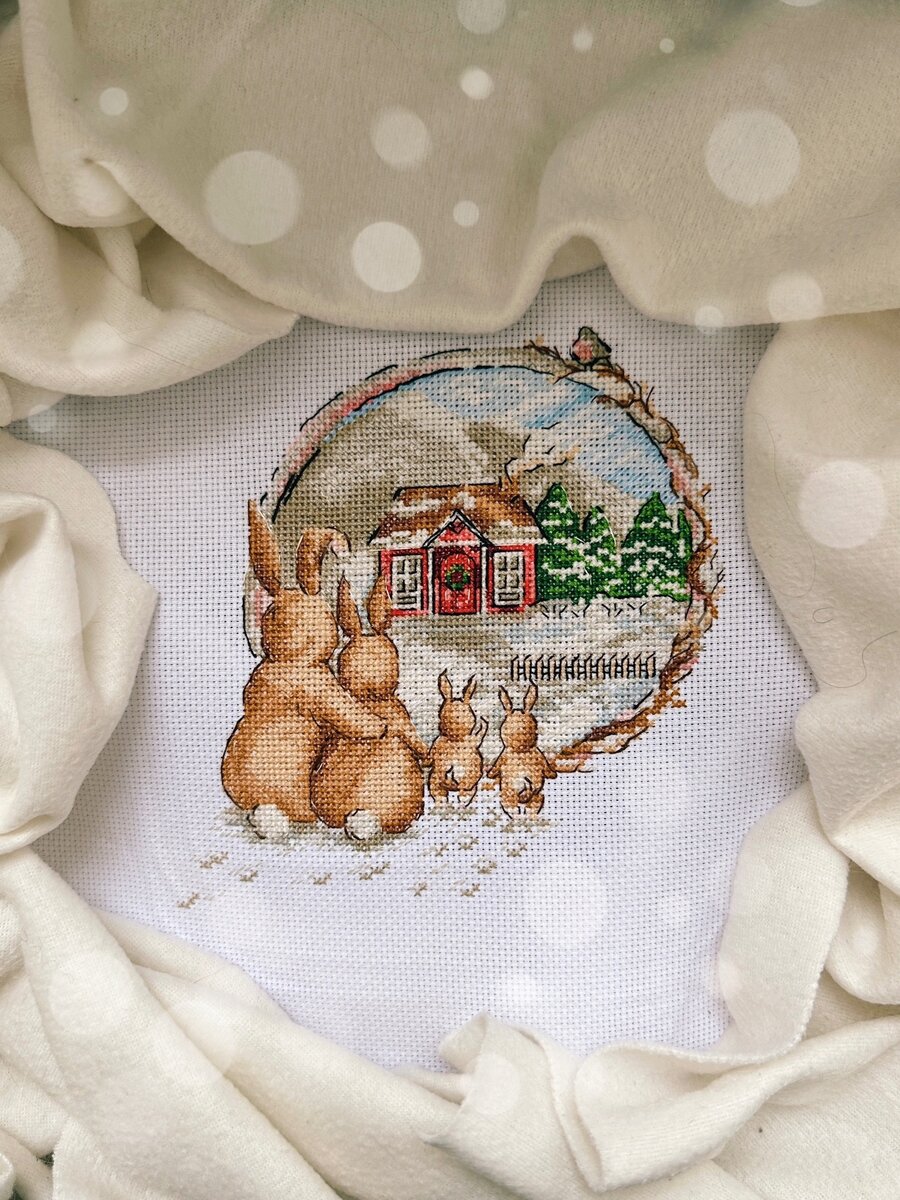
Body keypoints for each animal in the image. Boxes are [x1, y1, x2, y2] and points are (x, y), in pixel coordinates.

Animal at [221, 502, 386, 832]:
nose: (342, 548)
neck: (288, 658)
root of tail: (257, 802)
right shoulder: (318, 687)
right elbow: (348, 713)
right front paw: (378, 726)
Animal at [429, 672, 486, 806]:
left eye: (466, 711)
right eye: (442, 713)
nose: (453, 723)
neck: (456, 740)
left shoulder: (472, 742)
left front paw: (483, 723)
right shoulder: (439, 743)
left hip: (468, 787)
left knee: (465, 792)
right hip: (434, 780)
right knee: (439, 792)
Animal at [487, 684, 557, 818]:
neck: (520, 750)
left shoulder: (538, 756)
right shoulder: (504, 757)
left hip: (537, 796)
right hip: (508, 796)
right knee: (512, 806)